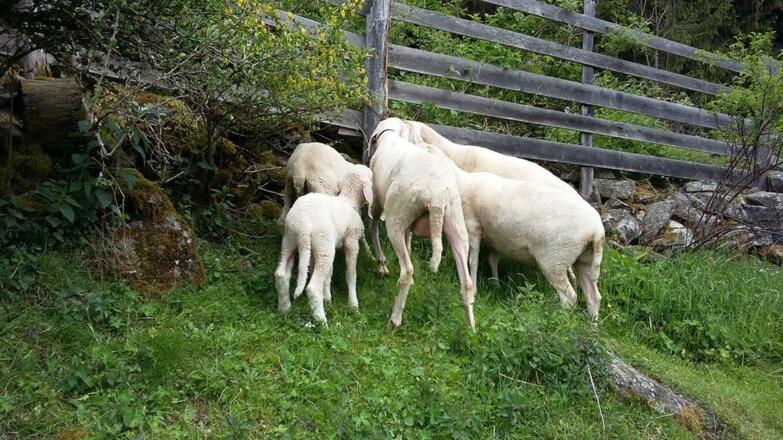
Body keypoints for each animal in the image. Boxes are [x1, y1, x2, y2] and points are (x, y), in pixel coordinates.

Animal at [274, 167, 373, 324]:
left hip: (291, 241)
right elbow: (351, 274)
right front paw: (353, 305)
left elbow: (328, 274)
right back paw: (322, 322)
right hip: (323, 244)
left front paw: (327, 300)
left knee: (281, 275)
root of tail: (303, 223)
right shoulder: (351, 241)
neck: (349, 200)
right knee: (312, 288)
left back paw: (284, 309)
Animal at [367, 119, 476, 331]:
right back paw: (471, 328)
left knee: (407, 271)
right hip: (455, 222)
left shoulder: (377, 201)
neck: (392, 137)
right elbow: (409, 242)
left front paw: (381, 265)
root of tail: (437, 197)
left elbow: (373, 227)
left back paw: (394, 321)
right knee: (467, 283)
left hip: (396, 216)